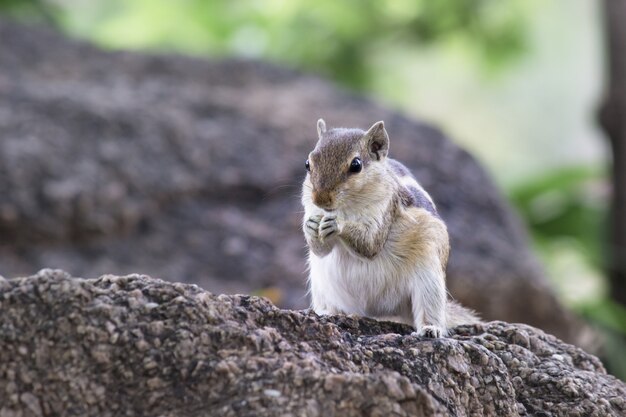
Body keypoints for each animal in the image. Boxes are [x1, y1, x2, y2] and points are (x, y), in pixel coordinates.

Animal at [300, 118, 476, 336]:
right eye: (308, 163)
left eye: (356, 165)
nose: (320, 199)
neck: (346, 209)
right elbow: (320, 250)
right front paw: (310, 225)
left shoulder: (384, 212)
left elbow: (370, 244)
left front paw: (338, 224)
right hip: (321, 285)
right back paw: (326, 313)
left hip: (430, 281)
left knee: (430, 310)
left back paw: (431, 328)